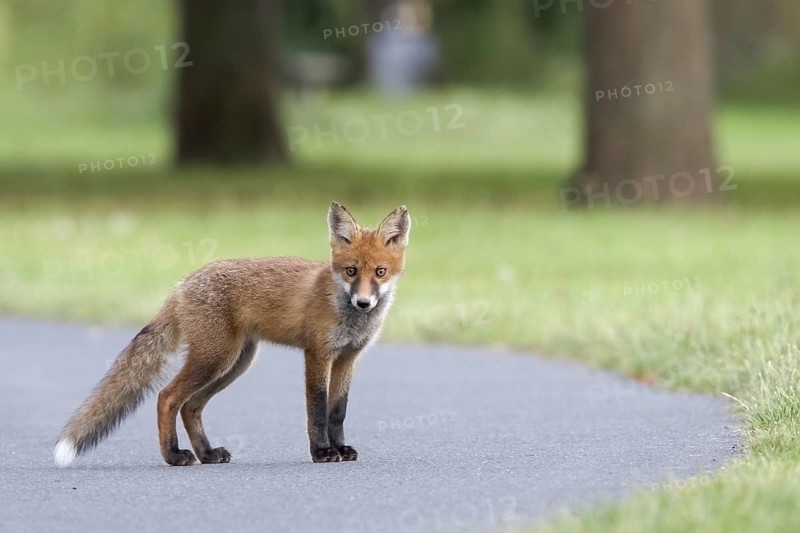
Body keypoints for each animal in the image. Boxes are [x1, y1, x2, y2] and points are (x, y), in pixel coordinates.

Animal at [54, 202, 410, 467]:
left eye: (380, 272)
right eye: (351, 271)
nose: (363, 303)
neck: (345, 310)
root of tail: (182, 284)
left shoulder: (348, 357)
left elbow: (338, 411)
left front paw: (340, 448)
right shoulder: (317, 354)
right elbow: (318, 409)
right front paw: (322, 452)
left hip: (235, 363)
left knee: (190, 406)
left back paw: (207, 454)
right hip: (215, 358)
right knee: (167, 397)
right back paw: (174, 456)